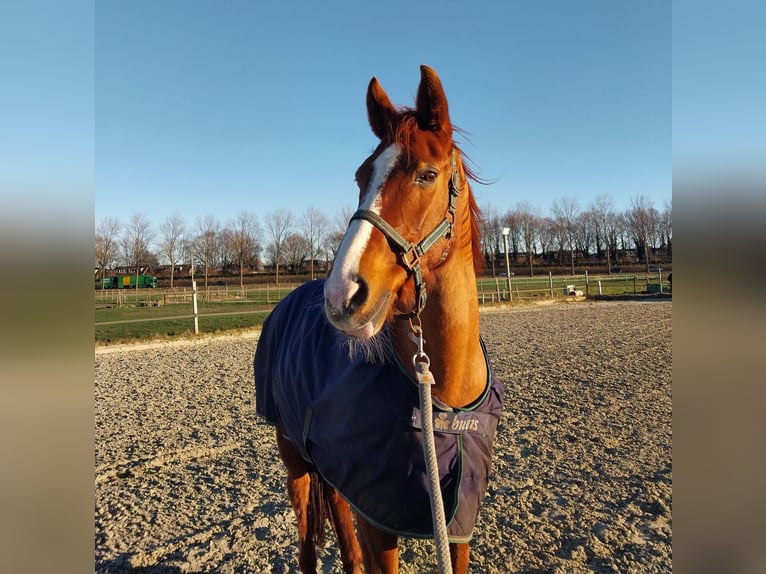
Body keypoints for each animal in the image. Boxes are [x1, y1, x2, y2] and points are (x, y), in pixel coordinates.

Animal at [254, 66, 504, 574]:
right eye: (360, 176)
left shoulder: (457, 521)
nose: (342, 294)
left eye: (427, 174)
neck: (443, 401)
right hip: (295, 462)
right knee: (308, 543)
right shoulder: (378, 520)